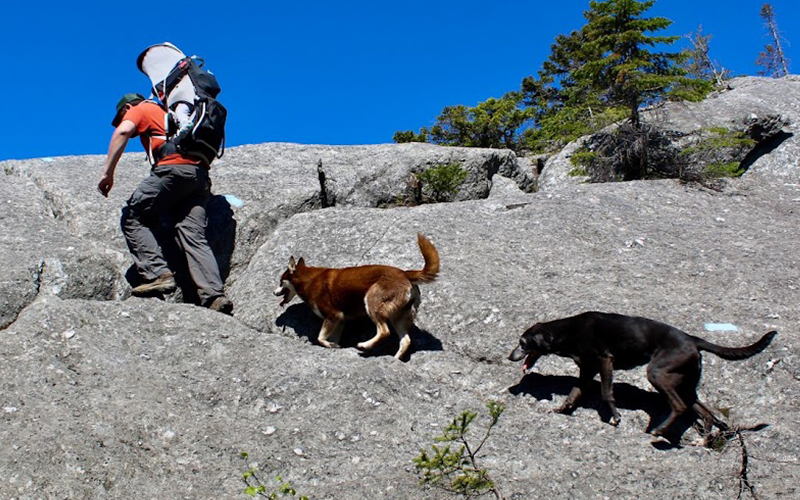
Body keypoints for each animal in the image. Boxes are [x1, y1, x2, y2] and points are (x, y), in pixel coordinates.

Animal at [274, 234, 438, 360]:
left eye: (280, 281)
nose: (274, 292)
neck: (308, 279)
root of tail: (405, 273)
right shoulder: (340, 320)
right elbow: (332, 338)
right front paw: (334, 345)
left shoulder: (334, 315)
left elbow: (320, 338)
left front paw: (328, 344)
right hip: (398, 317)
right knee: (406, 341)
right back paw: (395, 359)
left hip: (372, 301)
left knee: (384, 331)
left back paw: (364, 345)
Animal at [510, 312, 780, 438]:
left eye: (522, 343)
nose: (510, 355)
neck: (568, 330)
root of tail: (693, 339)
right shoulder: (587, 369)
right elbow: (574, 393)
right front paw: (561, 410)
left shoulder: (605, 361)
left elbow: (607, 393)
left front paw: (615, 417)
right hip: (685, 383)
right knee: (705, 413)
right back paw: (702, 439)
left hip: (657, 373)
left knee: (680, 407)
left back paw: (660, 431)